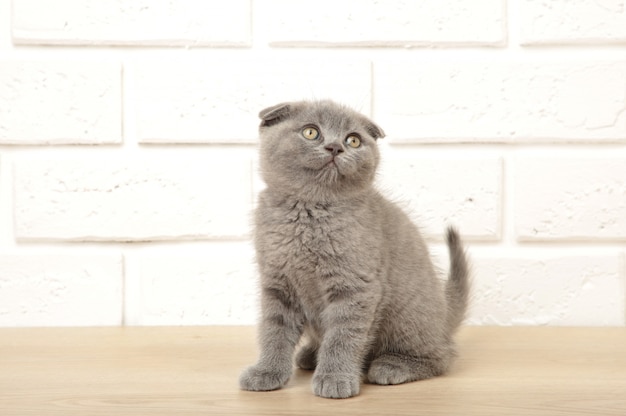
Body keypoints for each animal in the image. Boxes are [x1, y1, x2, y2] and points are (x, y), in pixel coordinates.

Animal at [239, 99, 468, 398]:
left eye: (353, 140)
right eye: (311, 132)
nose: (336, 147)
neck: (309, 212)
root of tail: (445, 313)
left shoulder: (355, 286)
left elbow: (343, 335)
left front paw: (335, 378)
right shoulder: (278, 284)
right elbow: (274, 330)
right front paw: (267, 372)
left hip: (407, 315)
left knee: (442, 356)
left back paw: (392, 366)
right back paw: (310, 355)